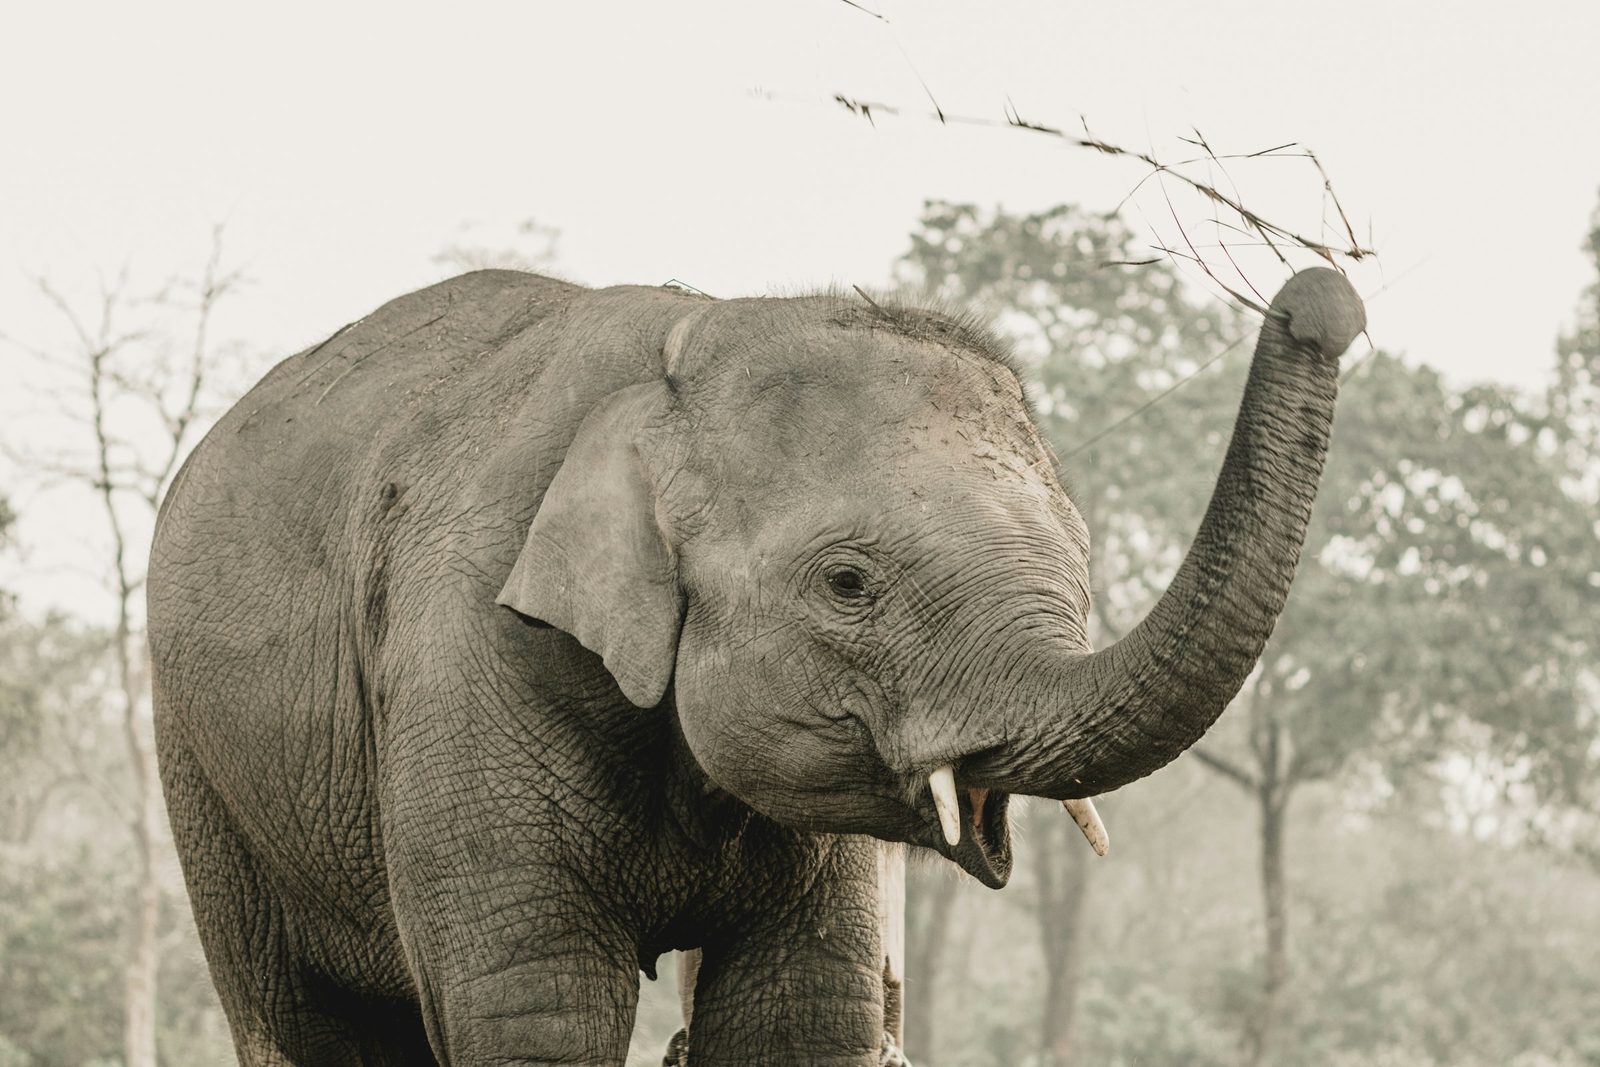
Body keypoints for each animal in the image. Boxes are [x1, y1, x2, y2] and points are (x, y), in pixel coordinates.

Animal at [147, 264, 1364, 1066]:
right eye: (848, 583)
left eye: (1083, 559)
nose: (1323, 300)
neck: (693, 346)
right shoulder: (465, 656)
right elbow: (538, 1009)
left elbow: (802, 1011)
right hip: (198, 759)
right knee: (299, 1018)